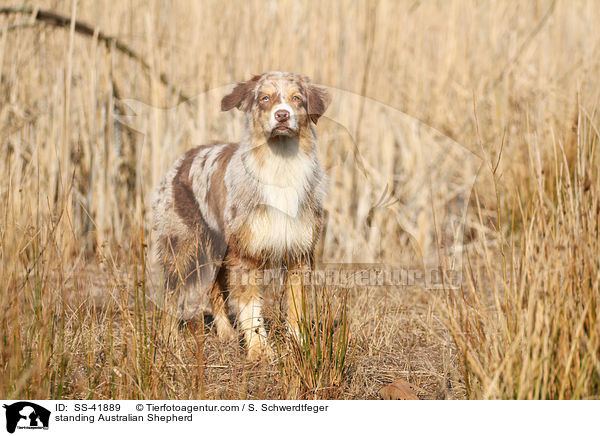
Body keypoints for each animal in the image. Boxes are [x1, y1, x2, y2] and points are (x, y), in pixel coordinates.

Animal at [150, 71, 328, 362]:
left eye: (296, 98)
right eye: (265, 98)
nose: (282, 115)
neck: (281, 162)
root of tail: (185, 157)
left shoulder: (299, 252)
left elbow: (296, 306)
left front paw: (299, 345)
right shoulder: (245, 254)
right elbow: (251, 308)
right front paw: (259, 350)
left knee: (213, 289)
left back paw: (225, 333)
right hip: (183, 245)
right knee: (170, 290)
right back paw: (169, 337)